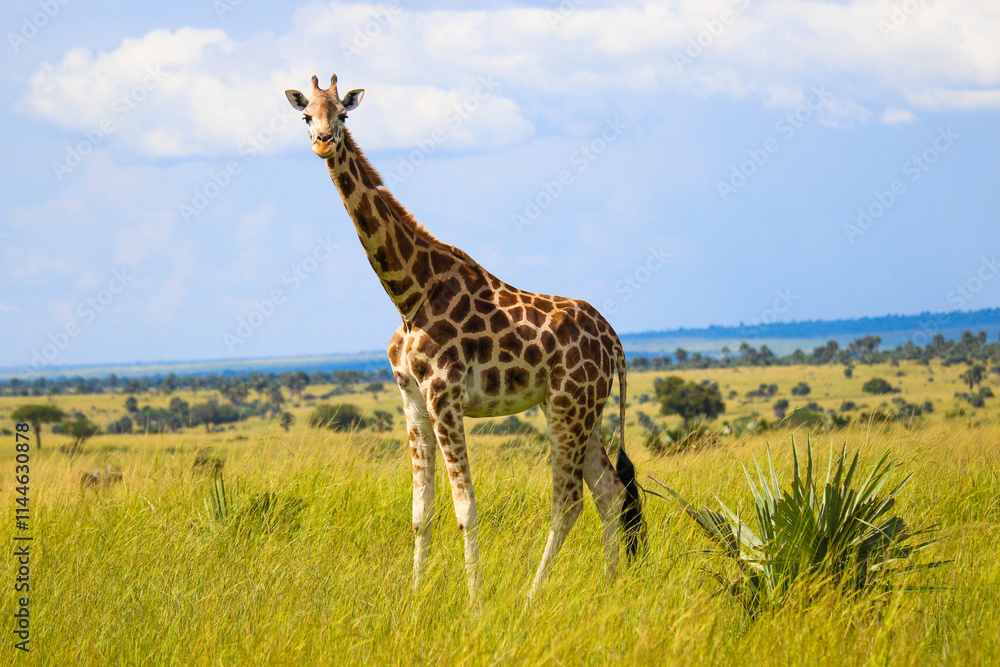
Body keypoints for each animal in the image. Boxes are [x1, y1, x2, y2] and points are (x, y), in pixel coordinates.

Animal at [285, 74, 645, 598]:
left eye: (344, 114)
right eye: (306, 115)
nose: (323, 141)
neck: (410, 294)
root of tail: (614, 340)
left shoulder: (445, 394)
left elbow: (466, 508)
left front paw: (474, 601)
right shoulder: (412, 399)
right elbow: (421, 512)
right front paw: (416, 596)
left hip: (568, 406)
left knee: (569, 500)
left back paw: (530, 597)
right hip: (581, 408)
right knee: (609, 492)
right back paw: (610, 586)